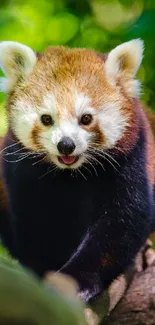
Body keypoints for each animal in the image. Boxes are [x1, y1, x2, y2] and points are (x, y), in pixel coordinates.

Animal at [0, 39, 154, 302]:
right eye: (46, 118)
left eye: (86, 118)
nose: (66, 145)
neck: (71, 174)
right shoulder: (21, 171)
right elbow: (34, 226)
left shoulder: (131, 158)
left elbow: (122, 222)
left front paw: (76, 281)